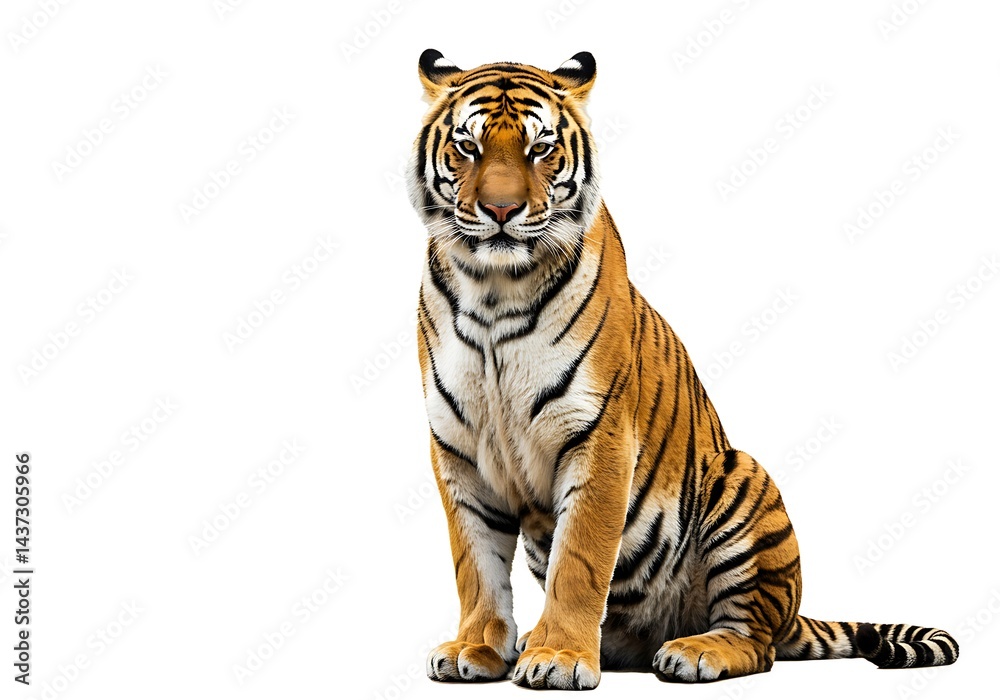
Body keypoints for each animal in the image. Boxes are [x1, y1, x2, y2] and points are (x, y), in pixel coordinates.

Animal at [407, 49, 959, 690]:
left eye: (539, 148)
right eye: (467, 147)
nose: (500, 210)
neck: (494, 287)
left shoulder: (598, 435)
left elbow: (580, 560)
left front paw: (560, 657)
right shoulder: (459, 448)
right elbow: (475, 564)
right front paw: (477, 648)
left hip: (740, 481)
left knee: (756, 643)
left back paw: (693, 652)